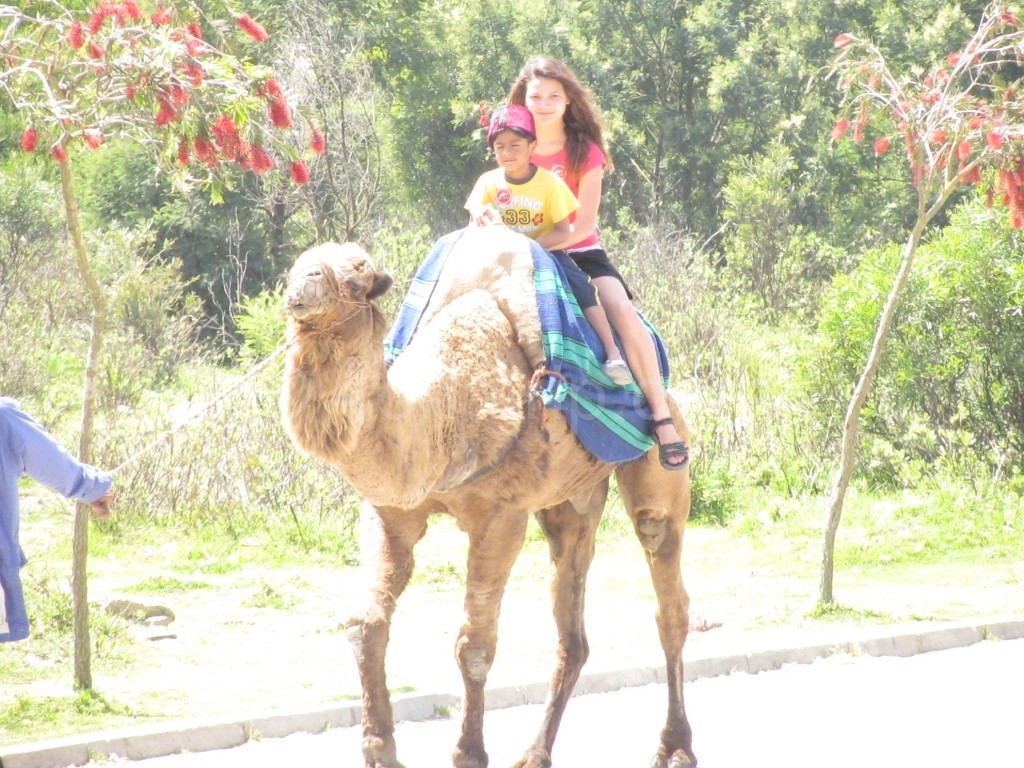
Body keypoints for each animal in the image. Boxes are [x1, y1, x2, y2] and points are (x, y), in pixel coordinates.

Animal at [280, 228, 696, 768]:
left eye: (358, 274)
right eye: (298, 264)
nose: (301, 285)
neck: (443, 411)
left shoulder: (502, 516)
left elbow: (474, 644)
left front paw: (470, 752)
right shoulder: (390, 511)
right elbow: (365, 624)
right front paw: (380, 749)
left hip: (658, 466)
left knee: (668, 596)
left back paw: (675, 747)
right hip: (570, 501)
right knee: (572, 628)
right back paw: (535, 753)